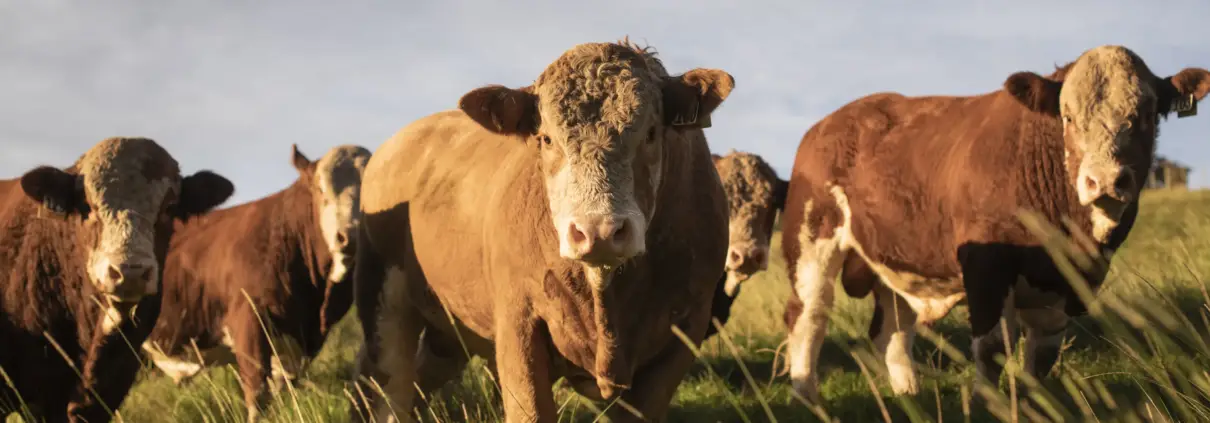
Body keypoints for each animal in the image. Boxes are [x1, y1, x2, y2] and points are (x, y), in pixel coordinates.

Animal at [347, 39, 735, 423]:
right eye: (546, 138)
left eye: (652, 133)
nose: (598, 231)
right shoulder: (519, 324)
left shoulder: (684, 333)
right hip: (383, 296)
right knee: (387, 384)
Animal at [779, 45, 1210, 402]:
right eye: (1068, 117)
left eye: (1147, 116)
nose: (1104, 181)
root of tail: (828, 124)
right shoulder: (986, 266)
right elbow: (992, 346)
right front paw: (990, 402)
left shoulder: (1071, 282)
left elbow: (1043, 353)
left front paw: (1038, 402)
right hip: (811, 241)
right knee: (808, 316)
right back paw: (808, 397)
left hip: (897, 257)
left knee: (892, 330)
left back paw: (908, 396)